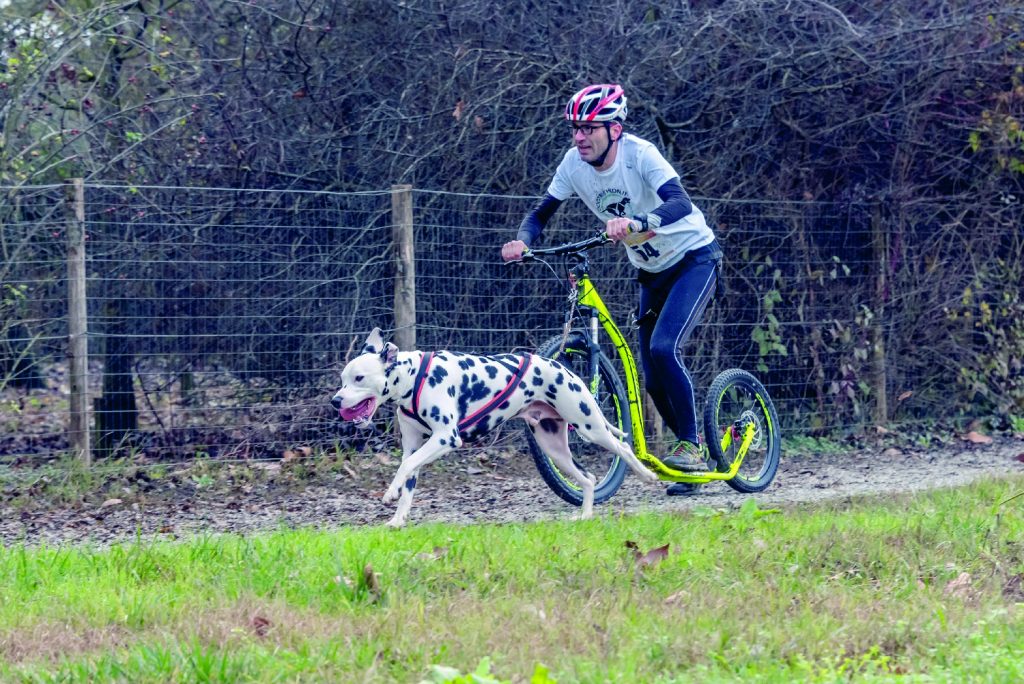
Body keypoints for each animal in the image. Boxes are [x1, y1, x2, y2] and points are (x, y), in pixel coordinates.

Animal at [331, 327, 659, 528]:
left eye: (359, 378)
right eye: (343, 379)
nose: (335, 401)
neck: (412, 378)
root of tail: (564, 368)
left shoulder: (445, 438)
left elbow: (405, 467)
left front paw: (389, 493)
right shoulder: (415, 445)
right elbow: (409, 477)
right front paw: (398, 518)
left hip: (590, 426)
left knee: (623, 447)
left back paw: (648, 475)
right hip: (553, 447)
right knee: (589, 479)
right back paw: (586, 514)